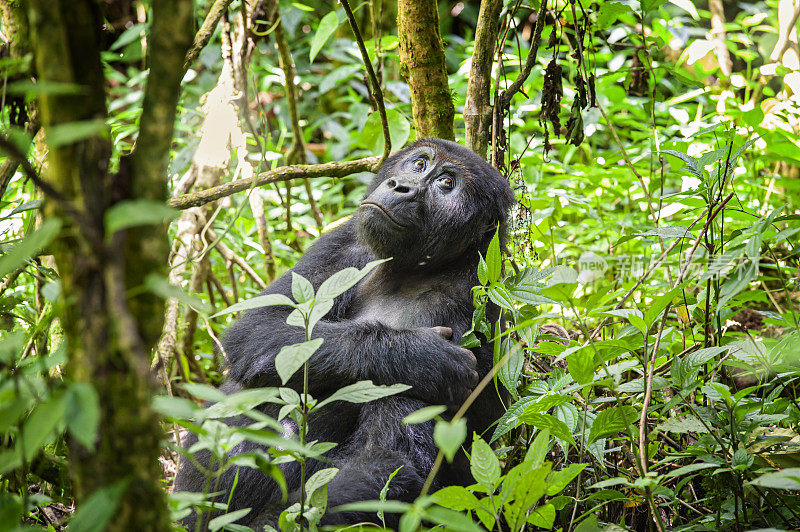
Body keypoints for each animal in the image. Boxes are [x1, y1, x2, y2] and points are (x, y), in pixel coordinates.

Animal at [173, 139, 516, 528]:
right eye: (418, 164)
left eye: (446, 183)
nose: (402, 186)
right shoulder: (345, 240)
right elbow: (261, 326)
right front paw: (421, 355)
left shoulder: (463, 304)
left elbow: (388, 462)